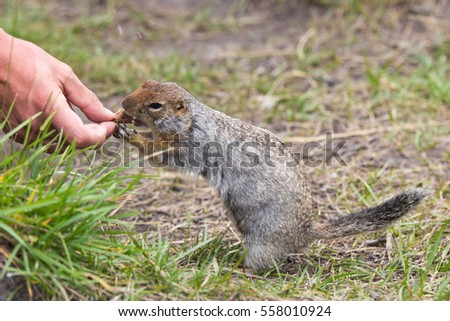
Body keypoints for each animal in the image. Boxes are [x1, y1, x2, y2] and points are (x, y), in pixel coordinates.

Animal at [112, 79, 432, 270]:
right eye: (143, 84)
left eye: (155, 105)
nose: (125, 103)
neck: (194, 119)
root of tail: (307, 233)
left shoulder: (187, 145)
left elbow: (158, 152)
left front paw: (131, 135)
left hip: (262, 244)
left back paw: (239, 268)